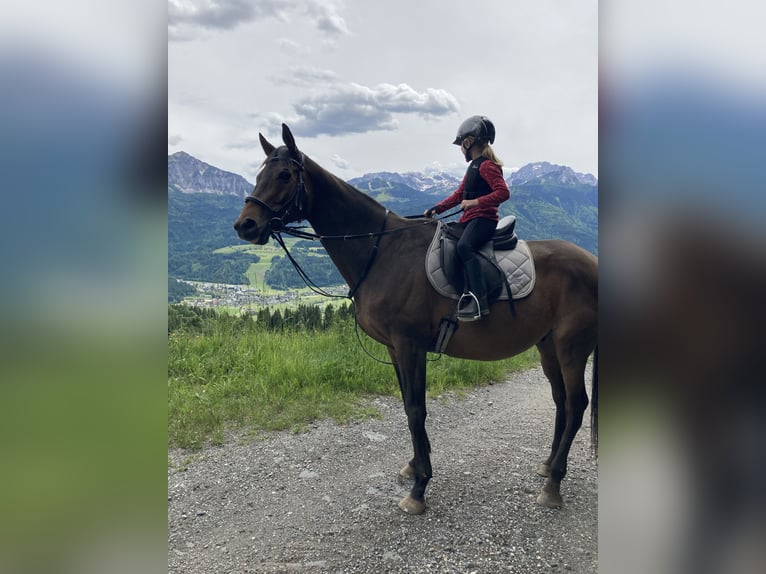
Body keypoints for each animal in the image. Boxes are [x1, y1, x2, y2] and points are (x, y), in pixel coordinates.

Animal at [234, 124, 598, 515]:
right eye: (259, 173)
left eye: (284, 175)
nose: (245, 225)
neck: (383, 251)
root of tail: (592, 260)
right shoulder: (395, 348)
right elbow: (408, 405)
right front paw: (413, 467)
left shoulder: (410, 345)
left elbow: (415, 409)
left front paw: (420, 487)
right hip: (548, 345)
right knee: (560, 399)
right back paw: (547, 465)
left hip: (572, 347)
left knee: (576, 404)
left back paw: (554, 484)